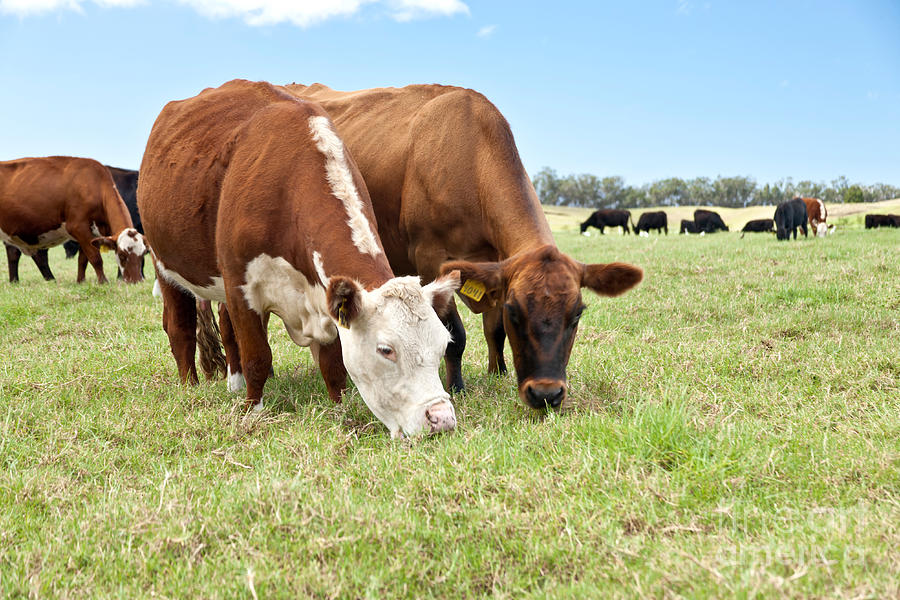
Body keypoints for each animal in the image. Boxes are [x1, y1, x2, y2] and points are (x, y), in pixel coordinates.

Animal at [0, 157, 147, 284]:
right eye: (121, 255)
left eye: (143, 254)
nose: (136, 281)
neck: (93, 184)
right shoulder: (78, 227)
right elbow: (95, 257)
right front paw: (103, 281)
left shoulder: (90, 234)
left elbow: (83, 260)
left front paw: (81, 281)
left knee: (17, 253)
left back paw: (18, 281)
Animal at [141, 78, 464, 436]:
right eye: (386, 350)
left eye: (442, 344)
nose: (441, 418)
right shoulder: (240, 286)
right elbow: (257, 355)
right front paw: (253, 411)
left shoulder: (325, 297)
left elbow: (333, 364)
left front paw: (339, 406)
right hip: (164, 264)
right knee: (180, 328)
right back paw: (191, 387)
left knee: (225, 327)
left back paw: (234, 383)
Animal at [284, 82, 644, 410]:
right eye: (515, 311)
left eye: (577, 314)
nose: (546, 394)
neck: (471, 156)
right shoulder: (431, 260)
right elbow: (454, 335)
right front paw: (457, 386)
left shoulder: (495, 266)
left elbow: (493, 330)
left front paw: (497, 372)